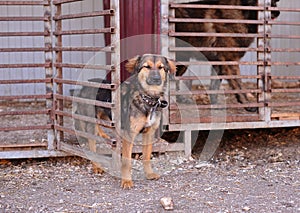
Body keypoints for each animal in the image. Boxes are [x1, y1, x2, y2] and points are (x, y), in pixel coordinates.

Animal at [75, 54, 177, 189]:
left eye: (161, 68)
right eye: (147, 66)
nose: (156, 79)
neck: (148, 100)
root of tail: (85, 85)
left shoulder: (149, 133)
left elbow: (147, 156)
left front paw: (149, 174)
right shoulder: (129, 134)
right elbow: (127, 161)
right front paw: (127, 181)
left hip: (108, 119)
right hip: (91, 122)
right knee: (92, 145)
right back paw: (97, 166)